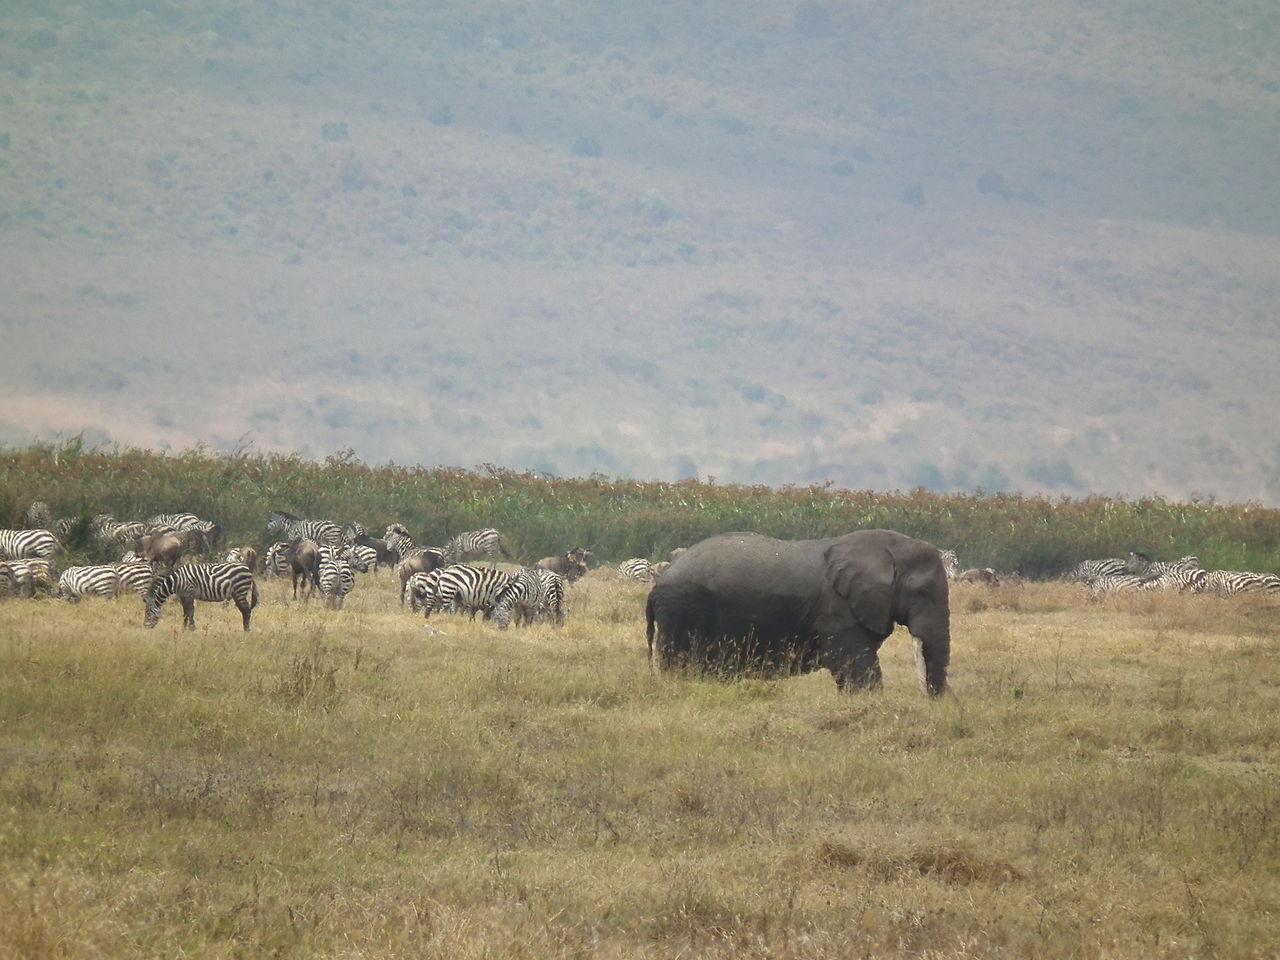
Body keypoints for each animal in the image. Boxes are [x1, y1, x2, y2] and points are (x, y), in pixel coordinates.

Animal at [645, 529, 947, 696]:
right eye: (923, 592)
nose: (931, 701)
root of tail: (658, 583)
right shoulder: (838, 610)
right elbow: (855, 665)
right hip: (683, 610)